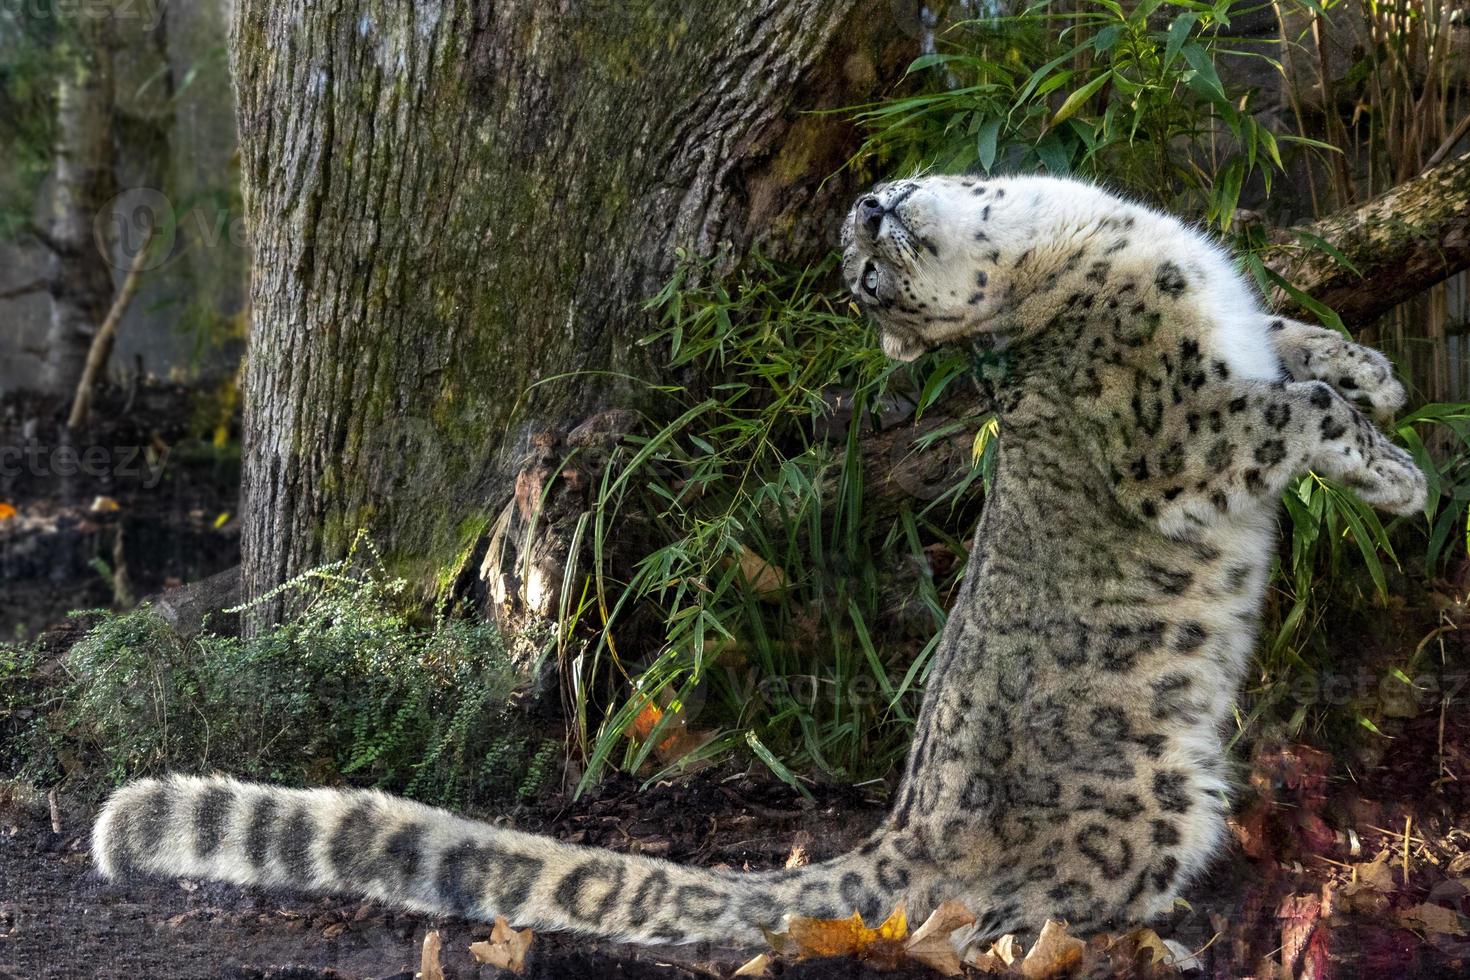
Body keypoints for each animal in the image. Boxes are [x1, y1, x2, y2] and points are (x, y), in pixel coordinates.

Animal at [91, 174, 1422, 952]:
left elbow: (1302, 344)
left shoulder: (1241, 341)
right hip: (1138, 809)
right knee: (1020, 920)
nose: (872, 210)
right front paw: (1399, 470)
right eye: (868, 279)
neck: (1082, 229)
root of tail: (902, 826)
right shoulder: (1175, 436)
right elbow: (1291, 413)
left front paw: (1382, 375)